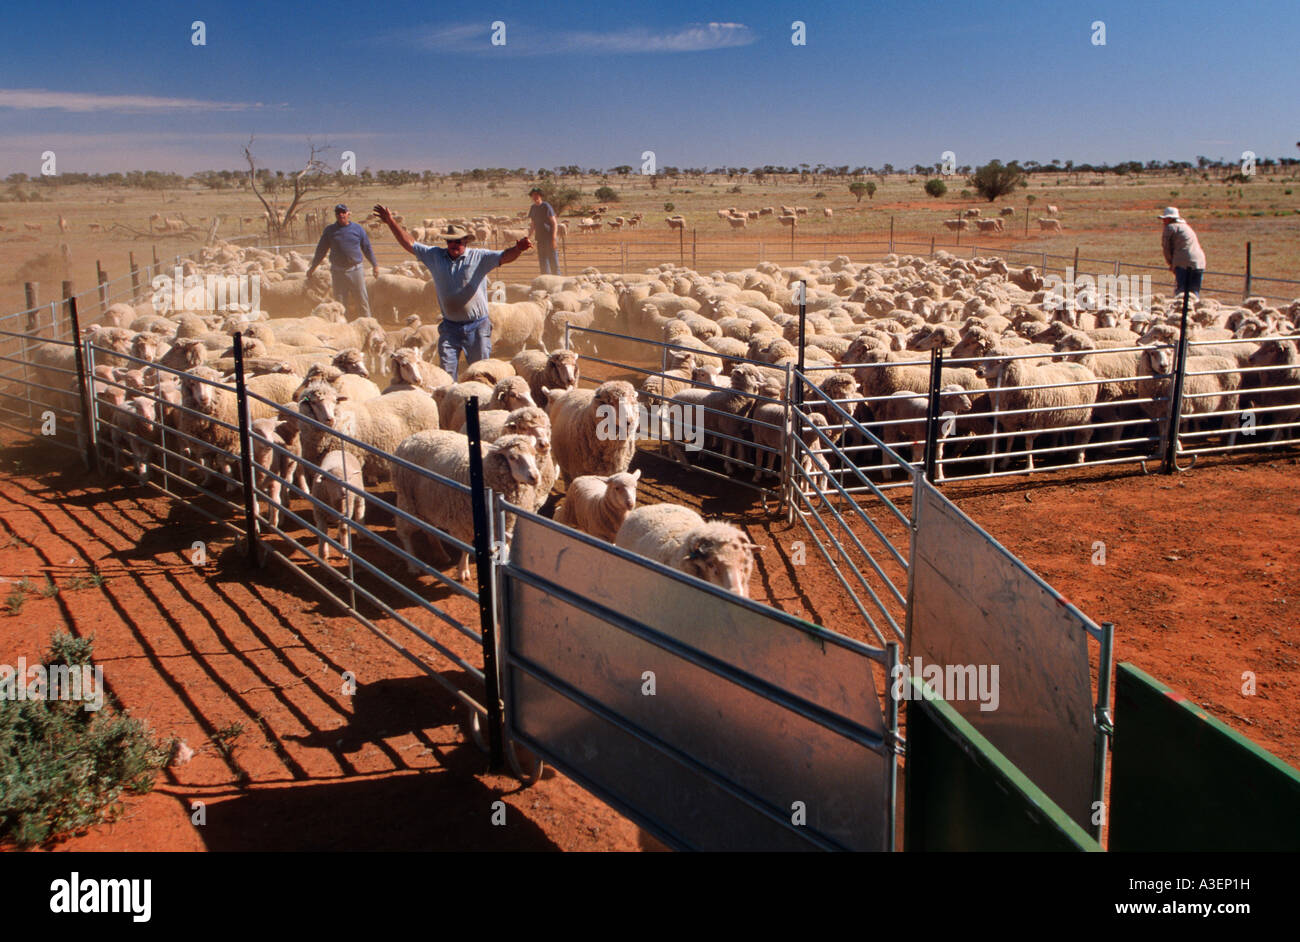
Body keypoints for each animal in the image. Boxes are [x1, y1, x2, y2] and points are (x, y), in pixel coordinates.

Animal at [392, 431, 540, 581]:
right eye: (512, 457)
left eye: (534, 454)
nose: (535, 477)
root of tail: (411, 437)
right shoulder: (463, 522)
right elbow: (466, 547)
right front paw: (463, 570)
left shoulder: (506, 525)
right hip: (406, 499)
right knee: (404, 533)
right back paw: (412, 565)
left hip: (428, 503)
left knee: (429, 529)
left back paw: (441, 554)